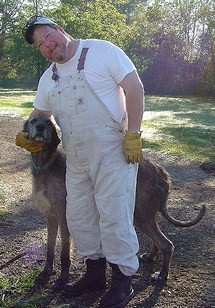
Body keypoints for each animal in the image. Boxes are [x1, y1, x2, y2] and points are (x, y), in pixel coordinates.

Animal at [23, 114, 205, 288]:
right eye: (33, 121)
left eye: (48, 123)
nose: (40, 127)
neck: (46, 164)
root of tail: (164, 173)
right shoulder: (51, 217)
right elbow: (50, 250)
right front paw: (45, 274)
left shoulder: (64, 217)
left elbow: (64, 254)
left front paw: (62, 279)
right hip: (143, 214)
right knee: (158, 239)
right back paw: (151, 256)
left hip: (140, 215)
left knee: (166, 244)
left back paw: (162, 275)